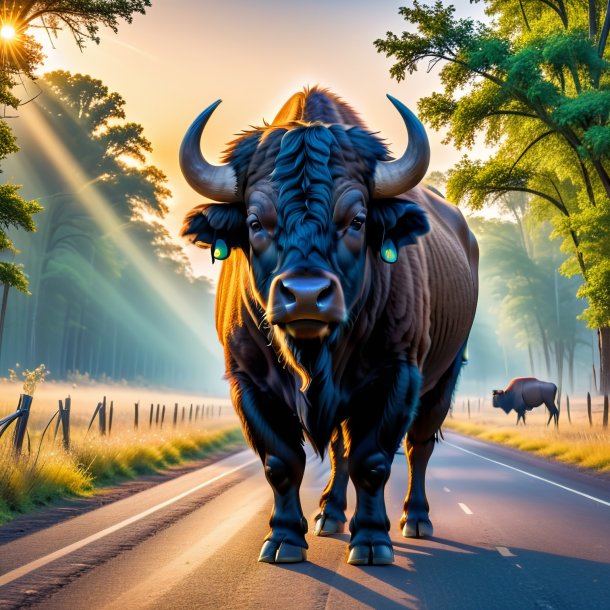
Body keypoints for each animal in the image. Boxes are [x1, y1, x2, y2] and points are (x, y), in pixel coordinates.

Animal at [178, 86, 478, 564]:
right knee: (339, 449)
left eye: (356, 220)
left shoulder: (398, 374)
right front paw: (284, 538)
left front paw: (372, 540)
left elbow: (372, 460)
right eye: (255, 222)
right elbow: (282, 462)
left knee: (418, 445)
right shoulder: (247, 381)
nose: (305, 294)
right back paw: (331, 513)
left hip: (444, 377)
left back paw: (415, 518)